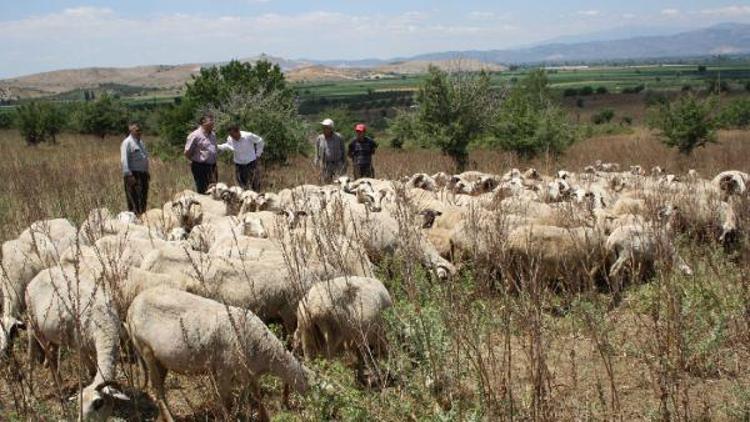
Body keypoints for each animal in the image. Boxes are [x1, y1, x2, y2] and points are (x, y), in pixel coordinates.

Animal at [128, 286, 310, 420]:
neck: (265, 351)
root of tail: (132, 306)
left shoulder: (249, 373)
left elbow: (258, 398)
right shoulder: (224, 369)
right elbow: (227, 403)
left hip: (162, 359)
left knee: (160, 389)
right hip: (145, 348)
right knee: (157, 389)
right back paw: (170, 418)